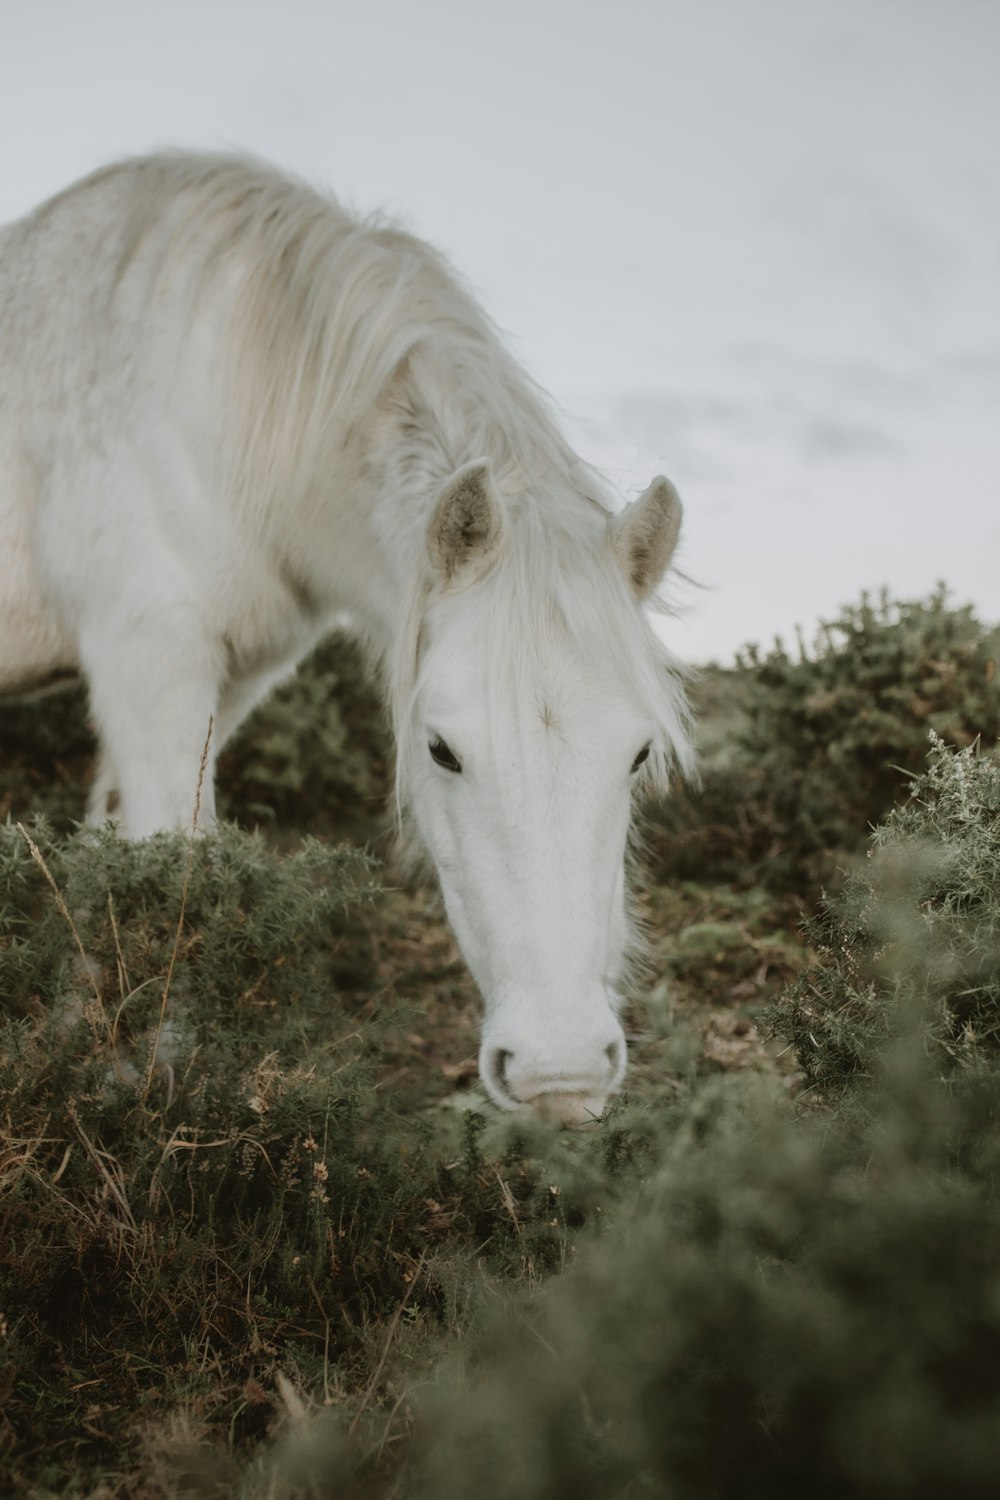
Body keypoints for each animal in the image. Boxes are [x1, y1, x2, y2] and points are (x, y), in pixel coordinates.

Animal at [0, 155, 692, 1128]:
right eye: (440, 750)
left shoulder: (227, 680)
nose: (562, 1076)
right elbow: (177, 867)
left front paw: (83, 1046)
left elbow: (113, 854)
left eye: (636, 756)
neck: (222, 398)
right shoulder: (147, 661)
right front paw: (151, 1097)